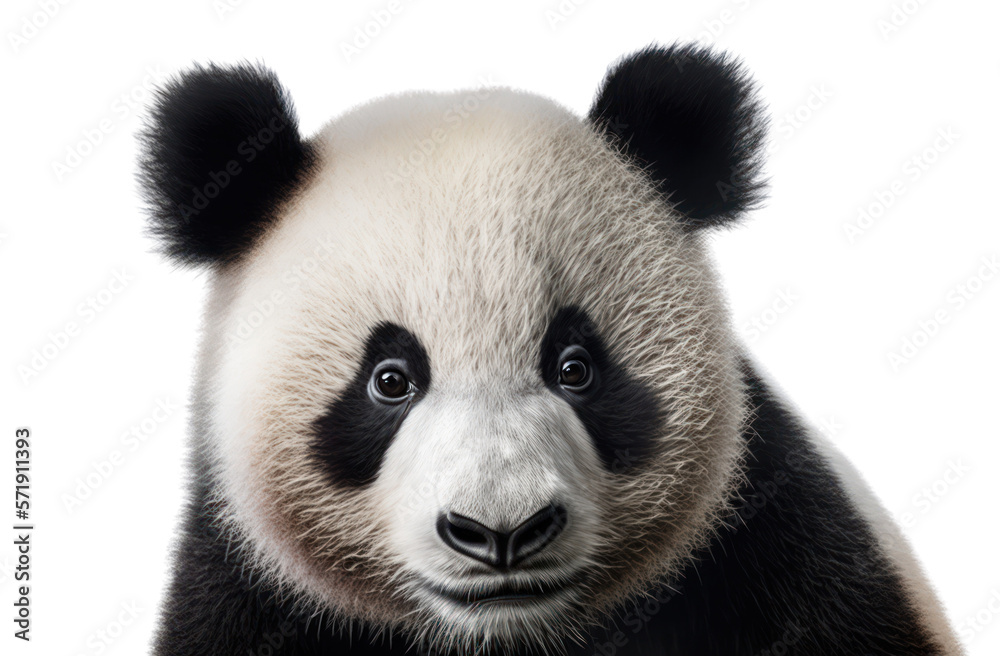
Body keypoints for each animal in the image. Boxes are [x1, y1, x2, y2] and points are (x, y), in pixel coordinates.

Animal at [139, 44, 963, 655]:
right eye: (390, 380)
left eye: (576, 368)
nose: (501, 532)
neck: (509, 638)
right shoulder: (250, 597)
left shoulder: (770, 547)